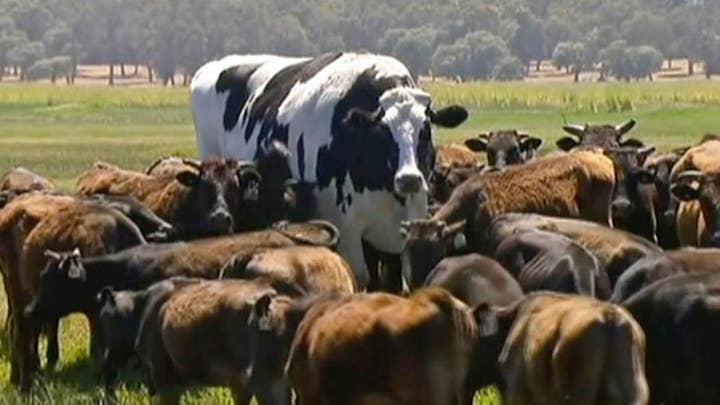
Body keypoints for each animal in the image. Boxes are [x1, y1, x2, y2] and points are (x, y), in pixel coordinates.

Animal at [0, 194, 146, 390]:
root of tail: (10, 211)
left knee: (18, 330)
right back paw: (25, 384)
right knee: (22, 334)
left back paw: (17, 378)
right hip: (18, 294)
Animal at [191, 52, 470, 288]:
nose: (409, 179)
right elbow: (361, 277)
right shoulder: (346, 228)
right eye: (382, 131)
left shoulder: (406, 224)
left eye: (426, 129)